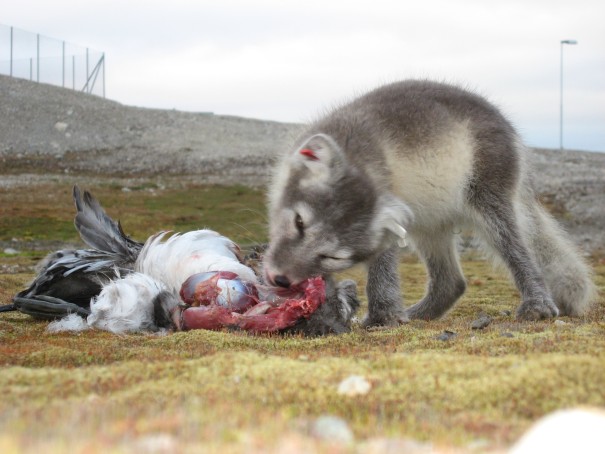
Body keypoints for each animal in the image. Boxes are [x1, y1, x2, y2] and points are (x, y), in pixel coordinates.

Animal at [264, 79, 596, 326]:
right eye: (299, 222)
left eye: (334, 257)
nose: (279, 278)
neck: (359, 155)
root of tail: (510, 129)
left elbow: (382, 269)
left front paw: (382, 318)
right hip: (428, 224)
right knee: (452, 282)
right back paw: (419, 315)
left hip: (490, 200)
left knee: (517, 251)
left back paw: (538, 306)